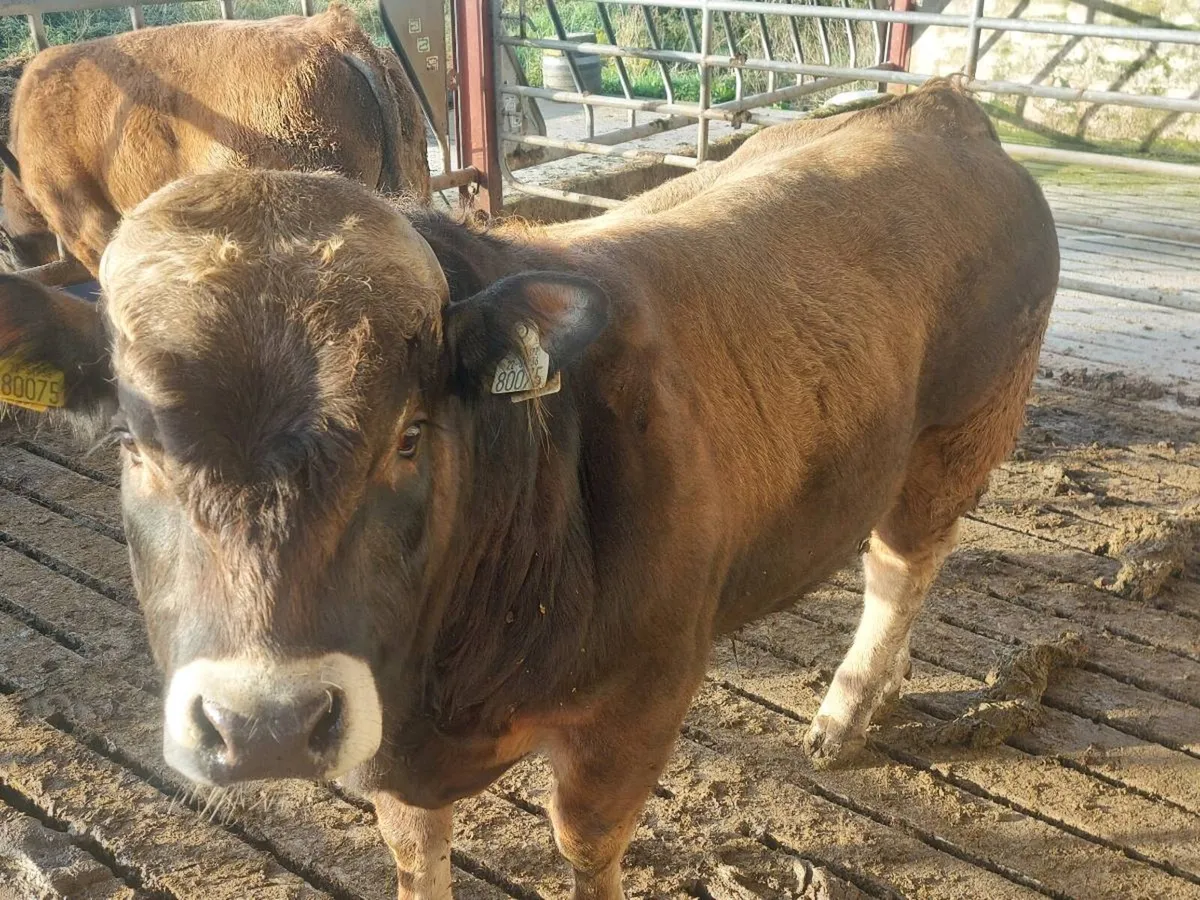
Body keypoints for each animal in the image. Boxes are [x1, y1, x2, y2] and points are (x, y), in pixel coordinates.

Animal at [0, 79, 1058, 899]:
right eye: (134, 447)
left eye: (409, 436)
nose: (263, 726)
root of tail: (942, 109)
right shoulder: (394, 748)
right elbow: (416, 852)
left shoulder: (638, 708)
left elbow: (587, 850)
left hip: (958, 435)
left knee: (902, 569)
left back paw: (847, 709)